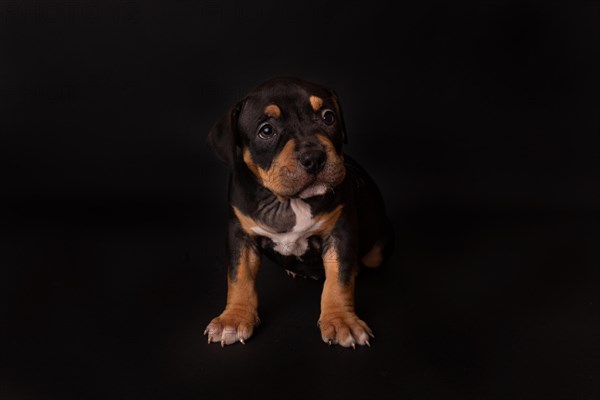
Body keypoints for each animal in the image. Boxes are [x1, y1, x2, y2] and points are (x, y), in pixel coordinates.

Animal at [206, 77, 394, 346]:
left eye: (328, 117)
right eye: (266, 131)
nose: (314, 157)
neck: (289, 202)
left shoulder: (341, 232)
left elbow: (339, 279)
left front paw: (341, 321)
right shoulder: (240, 234)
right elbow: (239, 276)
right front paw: (233, 319)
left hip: (377, 250)